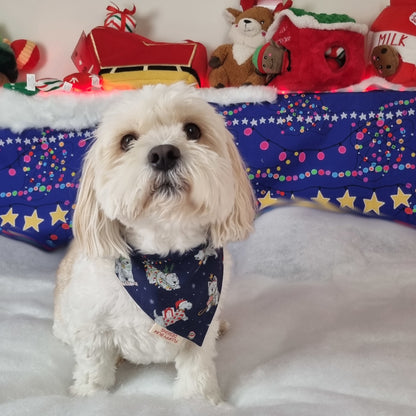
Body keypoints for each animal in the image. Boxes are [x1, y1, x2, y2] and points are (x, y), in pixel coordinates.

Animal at [52, 83, 256, 404]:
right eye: (127, 141)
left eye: (192, 130)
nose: (163, 153)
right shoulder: (91, 326)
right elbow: (93, 366)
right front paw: (90, 397)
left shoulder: (200, 332)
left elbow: (197, 367)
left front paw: (198, 401)